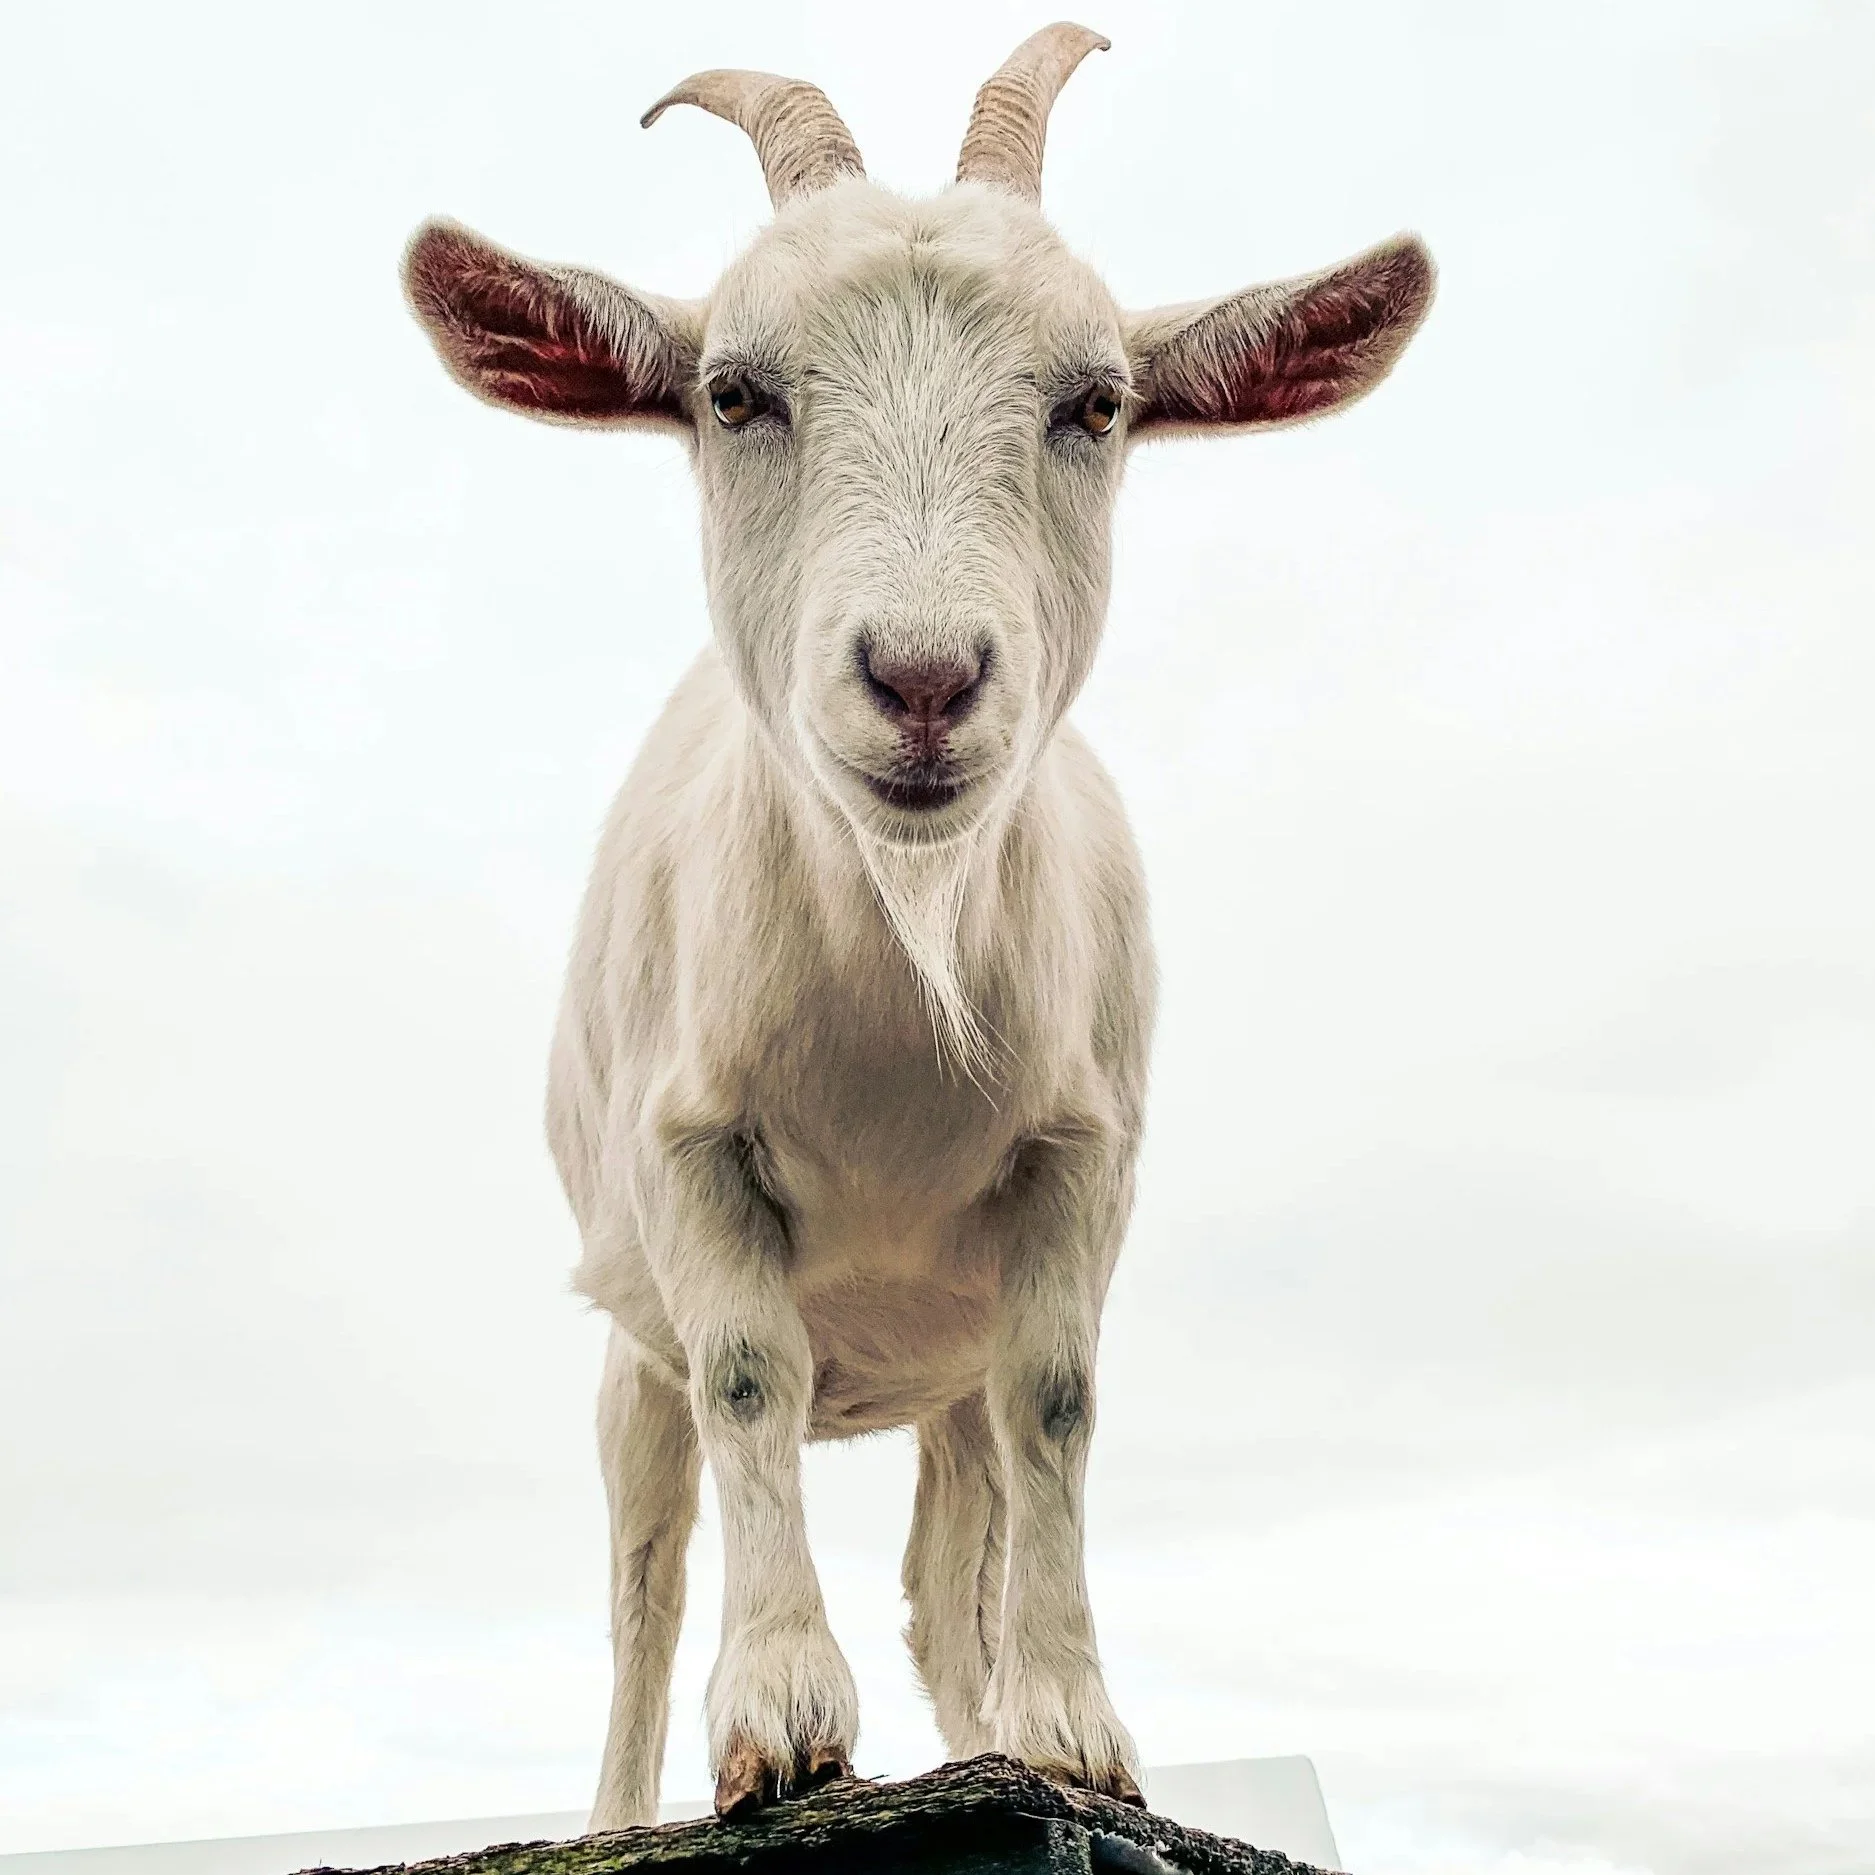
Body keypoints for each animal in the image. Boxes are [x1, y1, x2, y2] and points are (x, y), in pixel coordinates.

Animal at [403, 22, 1433, 1827]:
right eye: (731, 392)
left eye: (1097, 402)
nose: (927, 677)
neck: (905, 971)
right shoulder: (690, 1151)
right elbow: (749, 1381)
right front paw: (778, 1722)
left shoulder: (1078, 1165)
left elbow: (1058, 1409)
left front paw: (1075, 1734)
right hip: (624, 1349)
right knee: (644, 1577)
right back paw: (616, 1807)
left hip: (936, 1380)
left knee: (954, 1571)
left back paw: (985, 1722)